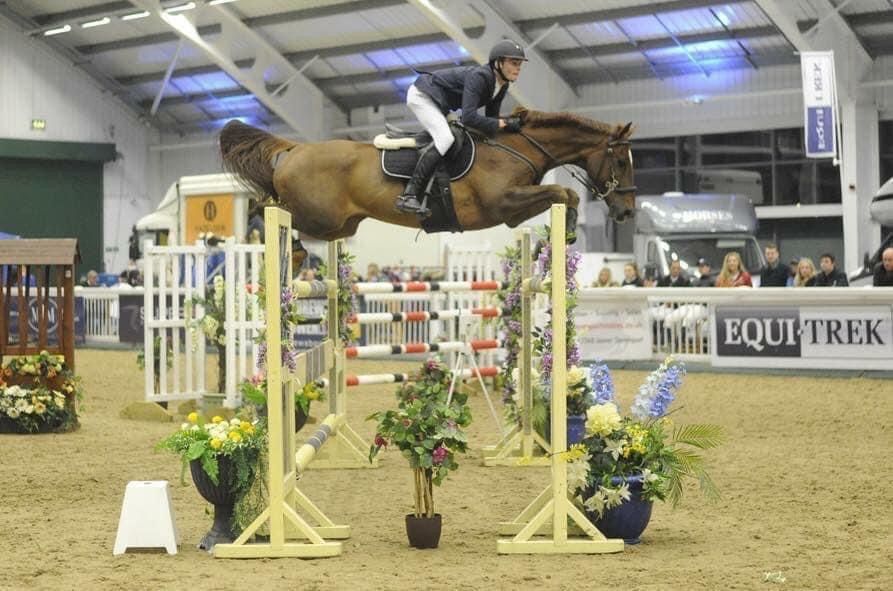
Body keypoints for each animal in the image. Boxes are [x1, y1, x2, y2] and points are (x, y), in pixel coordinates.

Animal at [216, 107, 636, 242]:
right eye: (621, 161)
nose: (627, 212)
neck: (516, 146)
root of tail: (294, 149)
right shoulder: (502, 203)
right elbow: (564, 194)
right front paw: (570, 228)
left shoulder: (514, 213)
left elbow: (564, 195)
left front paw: (569, 230)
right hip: (317, 216)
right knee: (266, 207)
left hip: (339, 226)